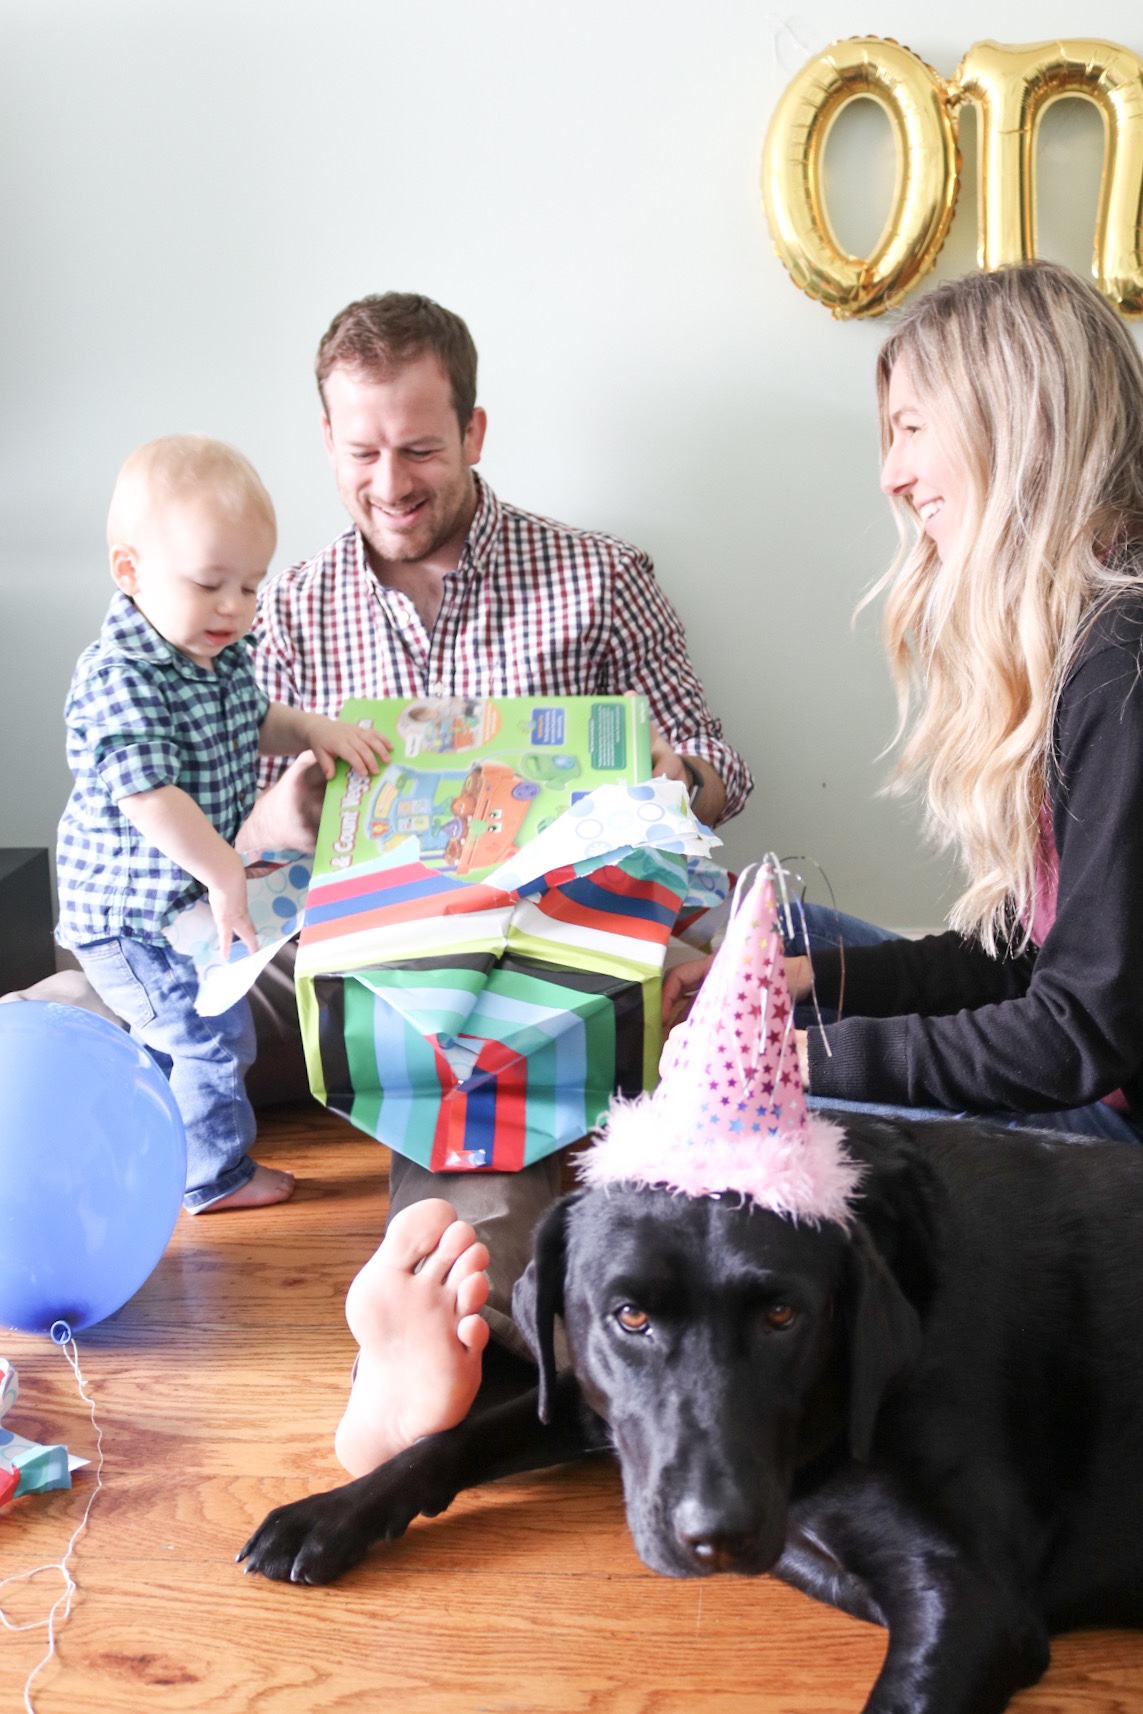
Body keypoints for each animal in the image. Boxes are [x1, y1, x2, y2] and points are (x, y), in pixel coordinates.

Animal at [239, 1113, 1143, 1714]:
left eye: (783, 1315)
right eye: (629, 1315)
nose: (717, 1535)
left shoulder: (971, 1596)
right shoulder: (592, 1404)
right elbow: (459, 1437)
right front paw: (329, 1513)